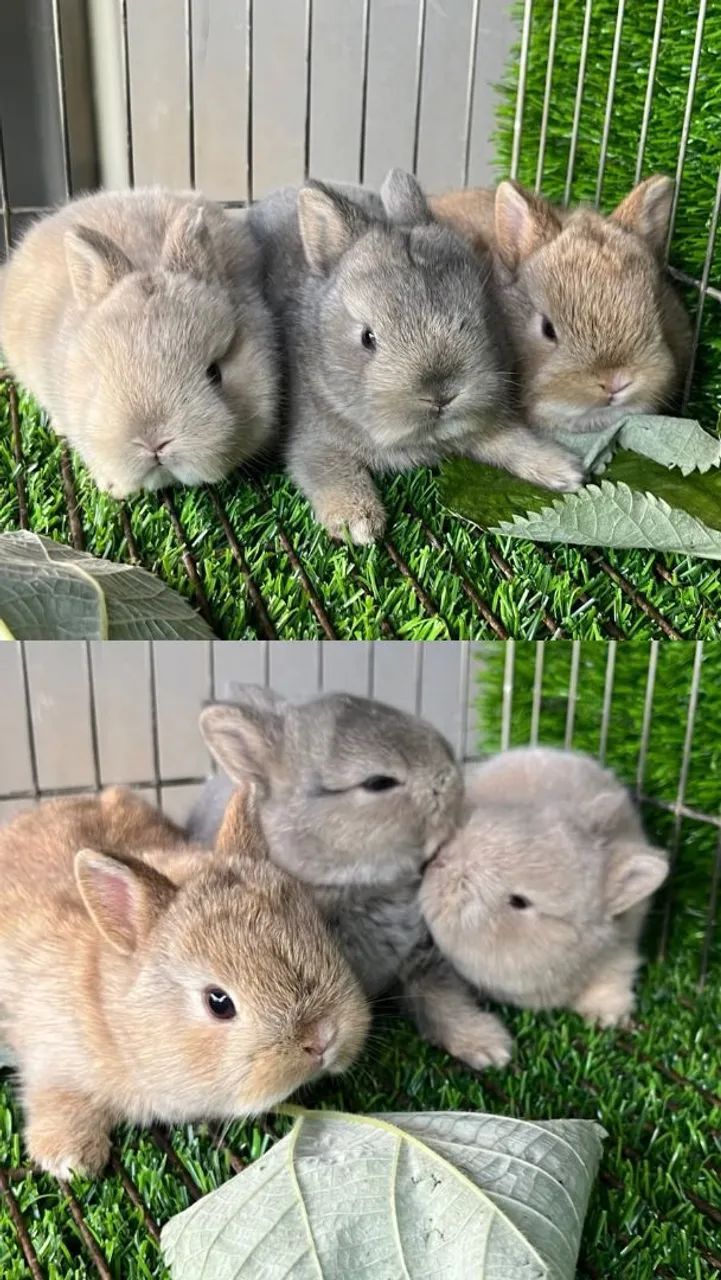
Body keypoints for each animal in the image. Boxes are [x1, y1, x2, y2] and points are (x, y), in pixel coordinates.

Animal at [0, 783, 369, 1178]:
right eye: (218, 1003)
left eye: (324, 930)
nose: (322, 1039)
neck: (113, 1017)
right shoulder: (51, 1055)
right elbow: (55, 1097)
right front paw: (72, 1159)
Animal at [189, 685, 514, 1072]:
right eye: (378, 783)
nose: (451, 778)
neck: (356, 886)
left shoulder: (423, 958)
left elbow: (443, 999)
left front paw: (489, 1046)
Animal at [244, 168, 583, 544]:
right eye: (368, 338)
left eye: (480, 316)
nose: (441, 396)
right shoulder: (313, 442)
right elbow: (329, 471)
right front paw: (359, 523)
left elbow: (512, 440)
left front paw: (565, 470)